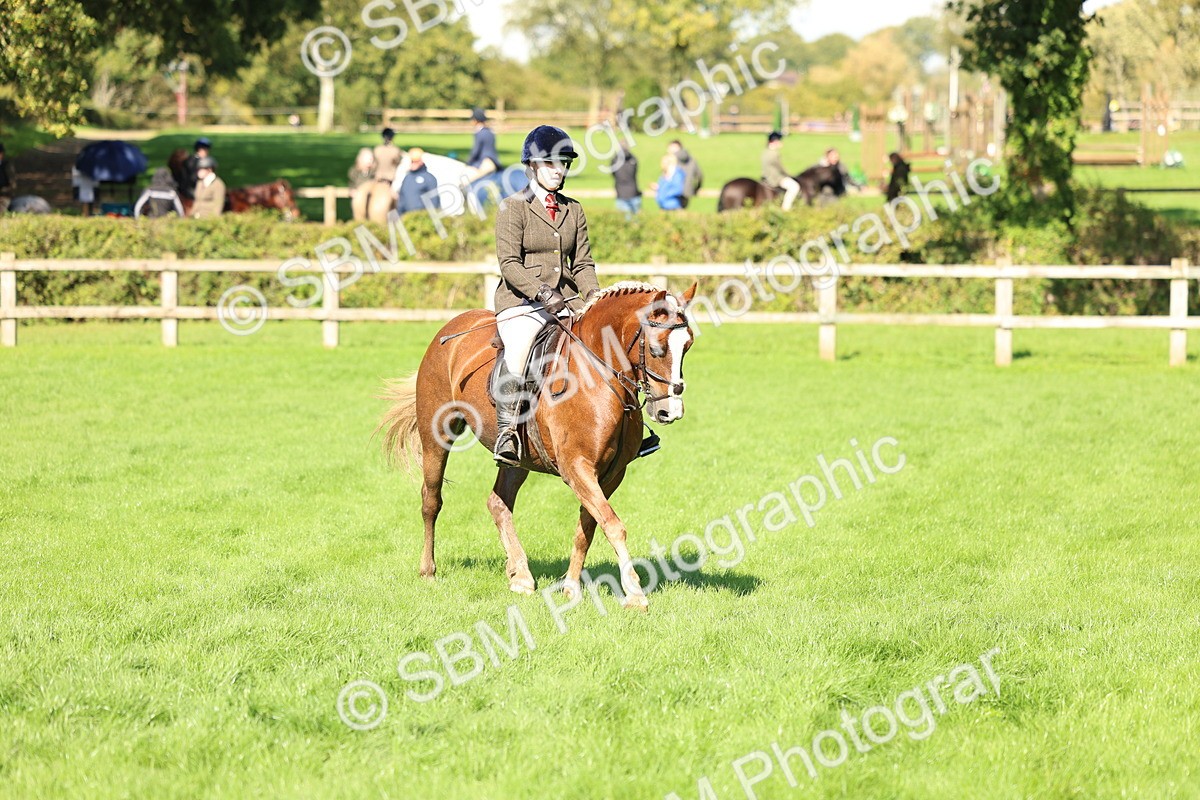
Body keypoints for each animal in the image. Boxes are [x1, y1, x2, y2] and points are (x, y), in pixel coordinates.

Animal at [378, 281, 698, 610]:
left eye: (688, 345)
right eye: (658, 348)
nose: (670, 412)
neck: (597, 373)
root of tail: (451, 326)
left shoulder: (611, 473)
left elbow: (588, 526)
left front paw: (571, 588)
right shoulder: (577, 467)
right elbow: (612, 524)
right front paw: (634, 594)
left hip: (518, 459)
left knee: (498, 502)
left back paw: (519, 574)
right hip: (437, 437)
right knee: (431, 500)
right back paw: (429, 571)